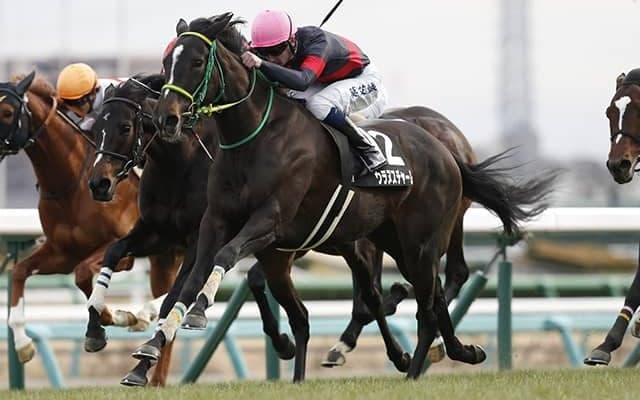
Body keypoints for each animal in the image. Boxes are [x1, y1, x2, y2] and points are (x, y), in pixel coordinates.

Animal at [0, 72, 182, 367]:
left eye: (6, 112)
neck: (70, 184)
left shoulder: (122, 247)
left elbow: (84, 274)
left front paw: (114, 318)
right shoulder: (62, 253)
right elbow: (18, 271)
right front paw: (23, 344)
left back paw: (144, 313)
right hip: (165, 256)